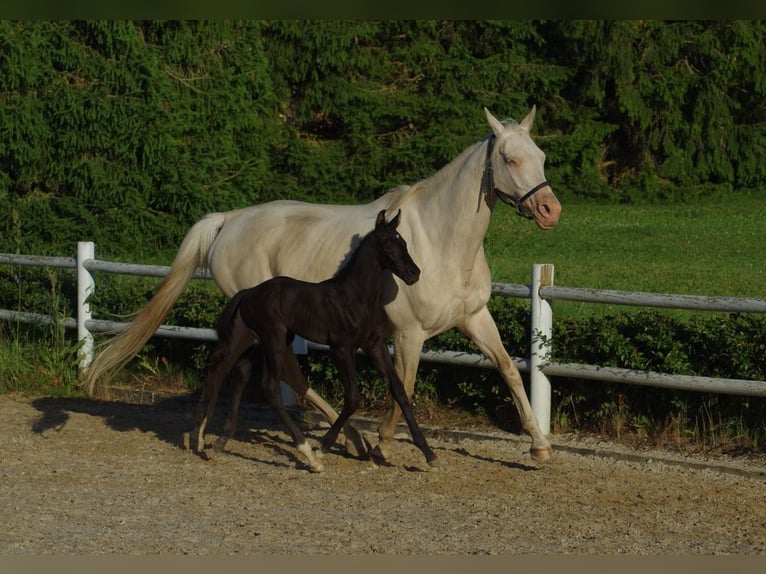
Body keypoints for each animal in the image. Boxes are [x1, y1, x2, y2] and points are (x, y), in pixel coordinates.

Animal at [85, 108, 564, 466]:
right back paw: (338, 443)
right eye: (510, 159)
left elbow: (508, 369)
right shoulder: (409, 335)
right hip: (270, 328)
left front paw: (539, 446)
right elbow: (405, 387)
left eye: (541, 155)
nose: (550, 210)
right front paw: (386, 443)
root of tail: (229, 219)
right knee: (288, 377)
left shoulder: (474, 318)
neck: (441, 239)